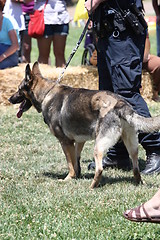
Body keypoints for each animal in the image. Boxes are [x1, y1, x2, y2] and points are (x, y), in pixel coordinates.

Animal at [8, 62, 160, 188]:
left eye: (19, 89)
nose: (10, 99)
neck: (47, 93)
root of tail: (121, 104)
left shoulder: (65, 142)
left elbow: (70, 164)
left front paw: (68, 178)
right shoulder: (79, 141)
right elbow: (76, 161)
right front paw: (77, 175)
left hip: (98, 146)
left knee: (100, 169)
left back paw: (92, 186)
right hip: (131, 145)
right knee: (135, 168)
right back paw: (139, 182)